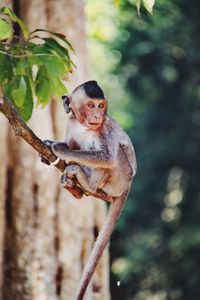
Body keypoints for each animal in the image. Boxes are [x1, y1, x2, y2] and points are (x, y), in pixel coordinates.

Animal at [41, 81, 137, 300]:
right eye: (91, 106)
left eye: (101, 106)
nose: (97, 116)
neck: (82, 125)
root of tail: (128, 185)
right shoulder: (70, 123)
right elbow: (71, 140)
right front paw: (52, 145)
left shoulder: (106, 127)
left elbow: (108, 158)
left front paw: (60, 149)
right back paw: (73, 186)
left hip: (121, 177)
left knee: (111, 156)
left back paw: (86, 182)